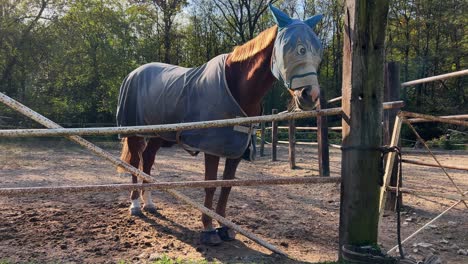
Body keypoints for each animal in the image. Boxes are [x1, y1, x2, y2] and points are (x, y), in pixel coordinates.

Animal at [116, 4, 326, 245]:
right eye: (297, 49)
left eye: (318, 52)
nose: (310, 95)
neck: (237, 87)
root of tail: (134, 73)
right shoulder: (212, 148)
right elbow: (210, 186)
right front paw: (208, 229)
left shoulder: (236, 150)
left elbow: (226, 187)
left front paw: (225, 228)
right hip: (135, 134)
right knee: (134, 162)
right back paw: (135, 205)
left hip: (158, 136)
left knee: (148, 161)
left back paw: (149, 203)